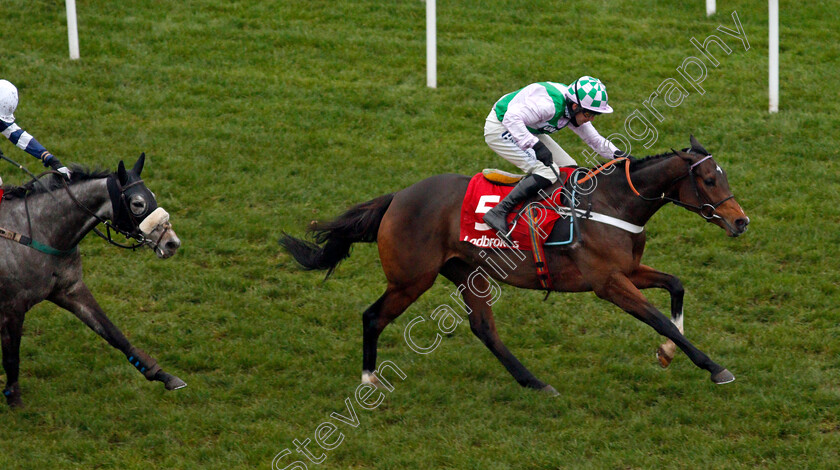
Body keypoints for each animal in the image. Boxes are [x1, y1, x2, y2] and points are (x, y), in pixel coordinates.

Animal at [0, 154, 185, 408]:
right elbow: (11, 356)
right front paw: (14, 398)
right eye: (138, 203)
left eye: (153, 195)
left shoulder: (70, 289)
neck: (35, 232)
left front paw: (162, 375)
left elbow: (113, 333)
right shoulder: (13, 307)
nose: (171, 242)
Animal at [280, 136, 748, 392]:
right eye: (709, 179)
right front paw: (714, 368)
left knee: (484, 328)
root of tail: (397, 198)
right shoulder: (609, 282)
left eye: (724, 176)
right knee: (373, 317)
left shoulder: (629, 271)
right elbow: (659, 318)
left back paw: (534, 382)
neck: (613, 203)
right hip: (412, 279)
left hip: (468, 273)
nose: (740, 221)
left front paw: (669, 354)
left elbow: (676, 285)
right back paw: (368, 380)